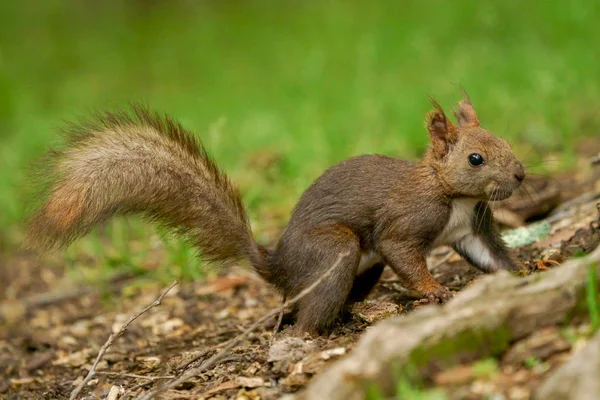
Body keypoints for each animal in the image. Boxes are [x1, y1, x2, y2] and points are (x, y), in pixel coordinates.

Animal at [27, 97, 524, 334]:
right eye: (476, 159)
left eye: (504, 140)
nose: (520, 174)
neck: (453, 194)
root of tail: (277, 265)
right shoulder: (404, 222)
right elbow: (402, 250)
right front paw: (433, 289)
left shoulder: (471, 229)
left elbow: (492, 256)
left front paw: (523, 271)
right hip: (337, 250)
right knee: (309, 314)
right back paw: (314, 332)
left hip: (360, 269)